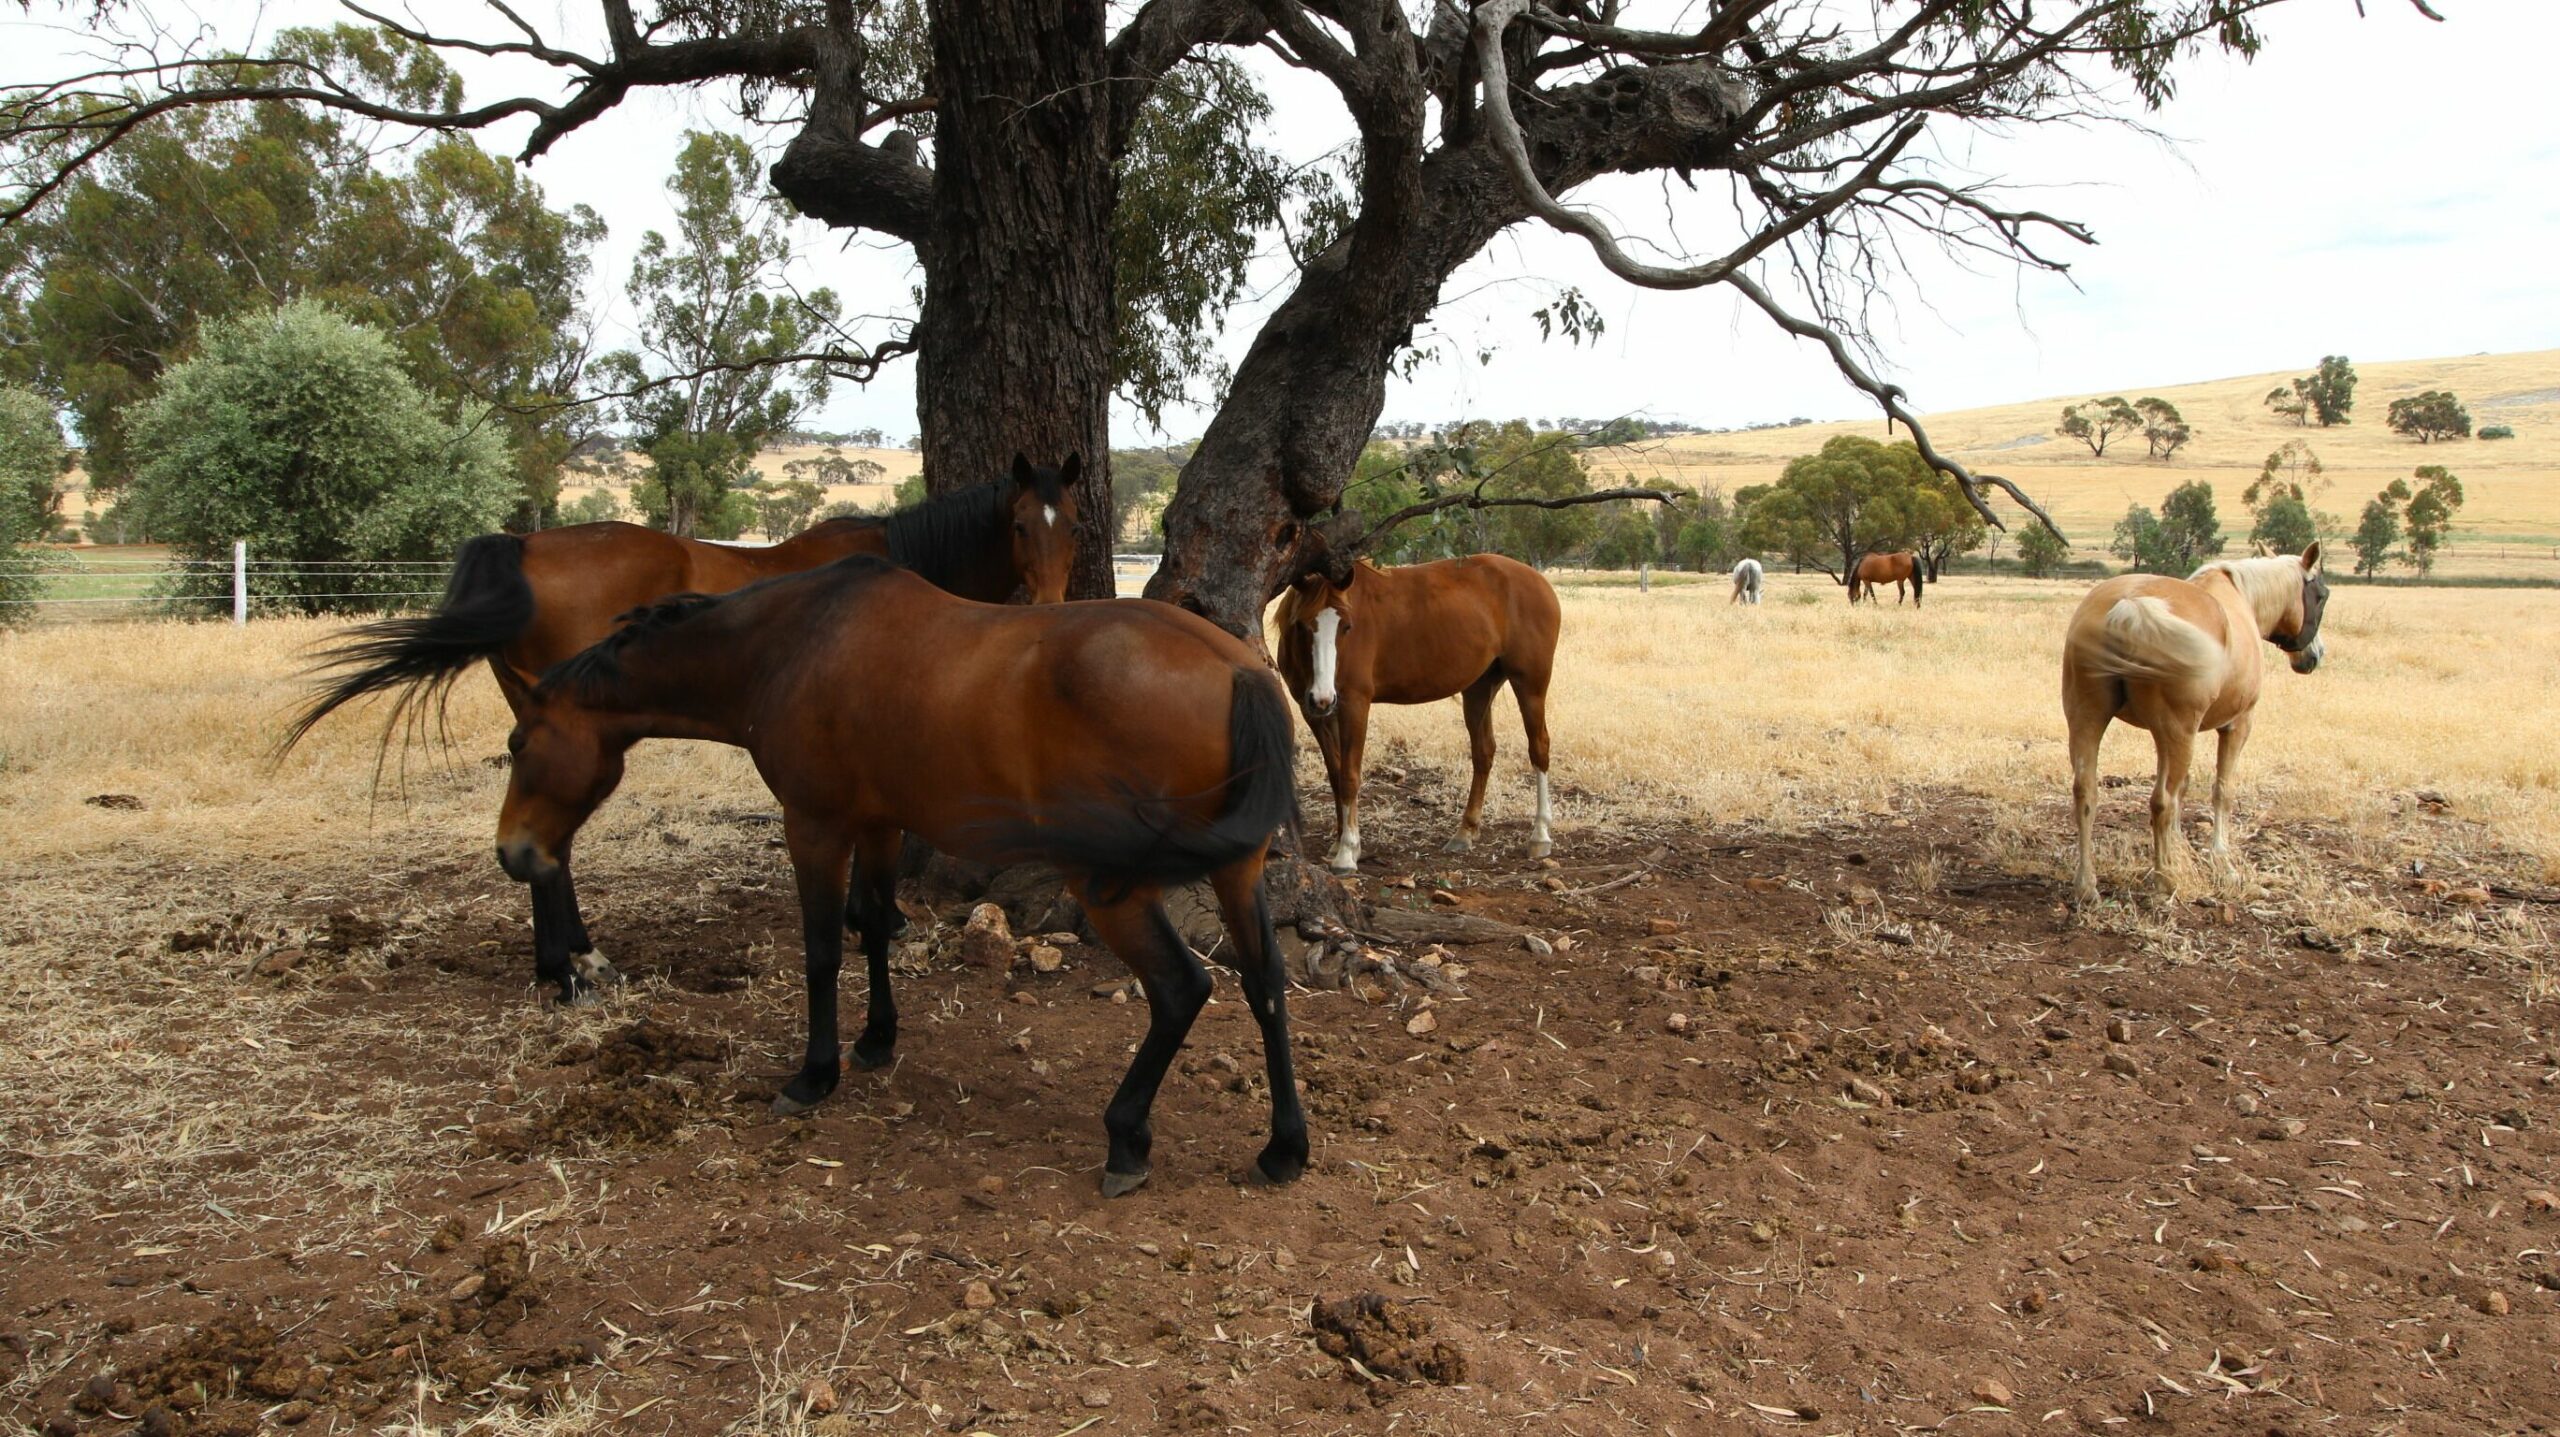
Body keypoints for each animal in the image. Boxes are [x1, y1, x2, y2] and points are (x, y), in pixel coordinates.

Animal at [491, 555, 1310, 1193]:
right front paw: (877, 1039)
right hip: (1237, 873)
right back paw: (1283, 1148)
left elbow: (824, 950)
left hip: (1113, 885)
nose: (513, 854)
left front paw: (815, 1073)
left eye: (518, 742)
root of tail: (1235, 668)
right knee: (1264, 985)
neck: (789, 644)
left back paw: (1126, 1137)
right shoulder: (880, 825)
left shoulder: (814, 826)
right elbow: (874, 929)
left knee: (1180, 988)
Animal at [1274, 548, 1556, 870]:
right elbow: (1335, 774)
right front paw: (1339, 840)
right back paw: (1465, 832)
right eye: (1301, 625)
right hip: (1479, 687)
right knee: (1483, 752)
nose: (1322, 697)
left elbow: (1349, 776)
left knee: (1539, 748)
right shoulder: (1315, 713)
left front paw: (1347, 850)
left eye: (1346, 626)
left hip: (1530, 684)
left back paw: (1540, 835)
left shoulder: (1354, 704)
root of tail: (1540, 582)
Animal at [2048, 543, 2334, 901]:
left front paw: (2180, 848)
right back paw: (2164, 878)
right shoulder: (2237, 725)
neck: (2242, 598)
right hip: (2177, 733)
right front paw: (2221, 862)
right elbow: (2221, 791)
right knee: (2161, 801)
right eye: (2321, 595)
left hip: (2088, 720)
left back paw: (2087, 884)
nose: (2314, 655)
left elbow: (2182, 790)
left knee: (2086, 792)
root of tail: (2129, 607)